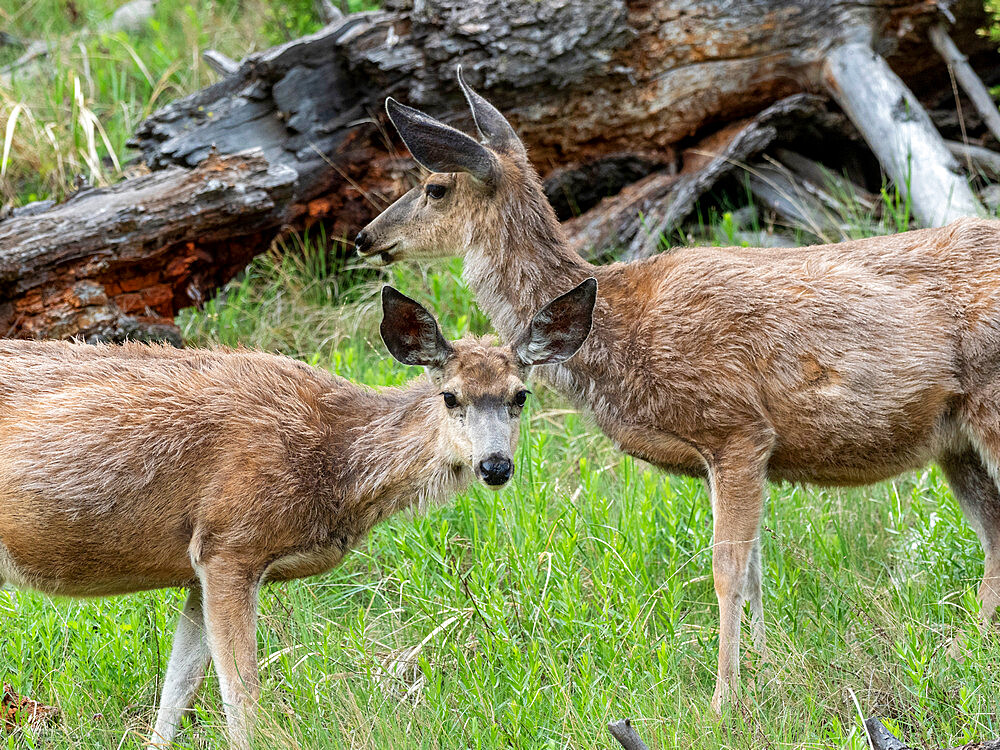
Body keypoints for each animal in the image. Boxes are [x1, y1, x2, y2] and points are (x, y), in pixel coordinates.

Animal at [0, 284, 592, 750]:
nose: (495, 465)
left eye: (520, 396)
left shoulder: (197, 567)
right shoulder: (231, 542)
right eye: (450, 396)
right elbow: (243, 704)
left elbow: (175, 696)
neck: (336, 463)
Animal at [356, 69, 1000, 716]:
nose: (365, 237)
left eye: (434, 187)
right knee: (993, 534)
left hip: (990, 408)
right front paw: (766, 671)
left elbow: (727, 568)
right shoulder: (737, 453)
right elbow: (756, 568)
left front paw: (723, 699)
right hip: (955, 443)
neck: (619, 335)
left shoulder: (736, 428)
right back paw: (966, 650)